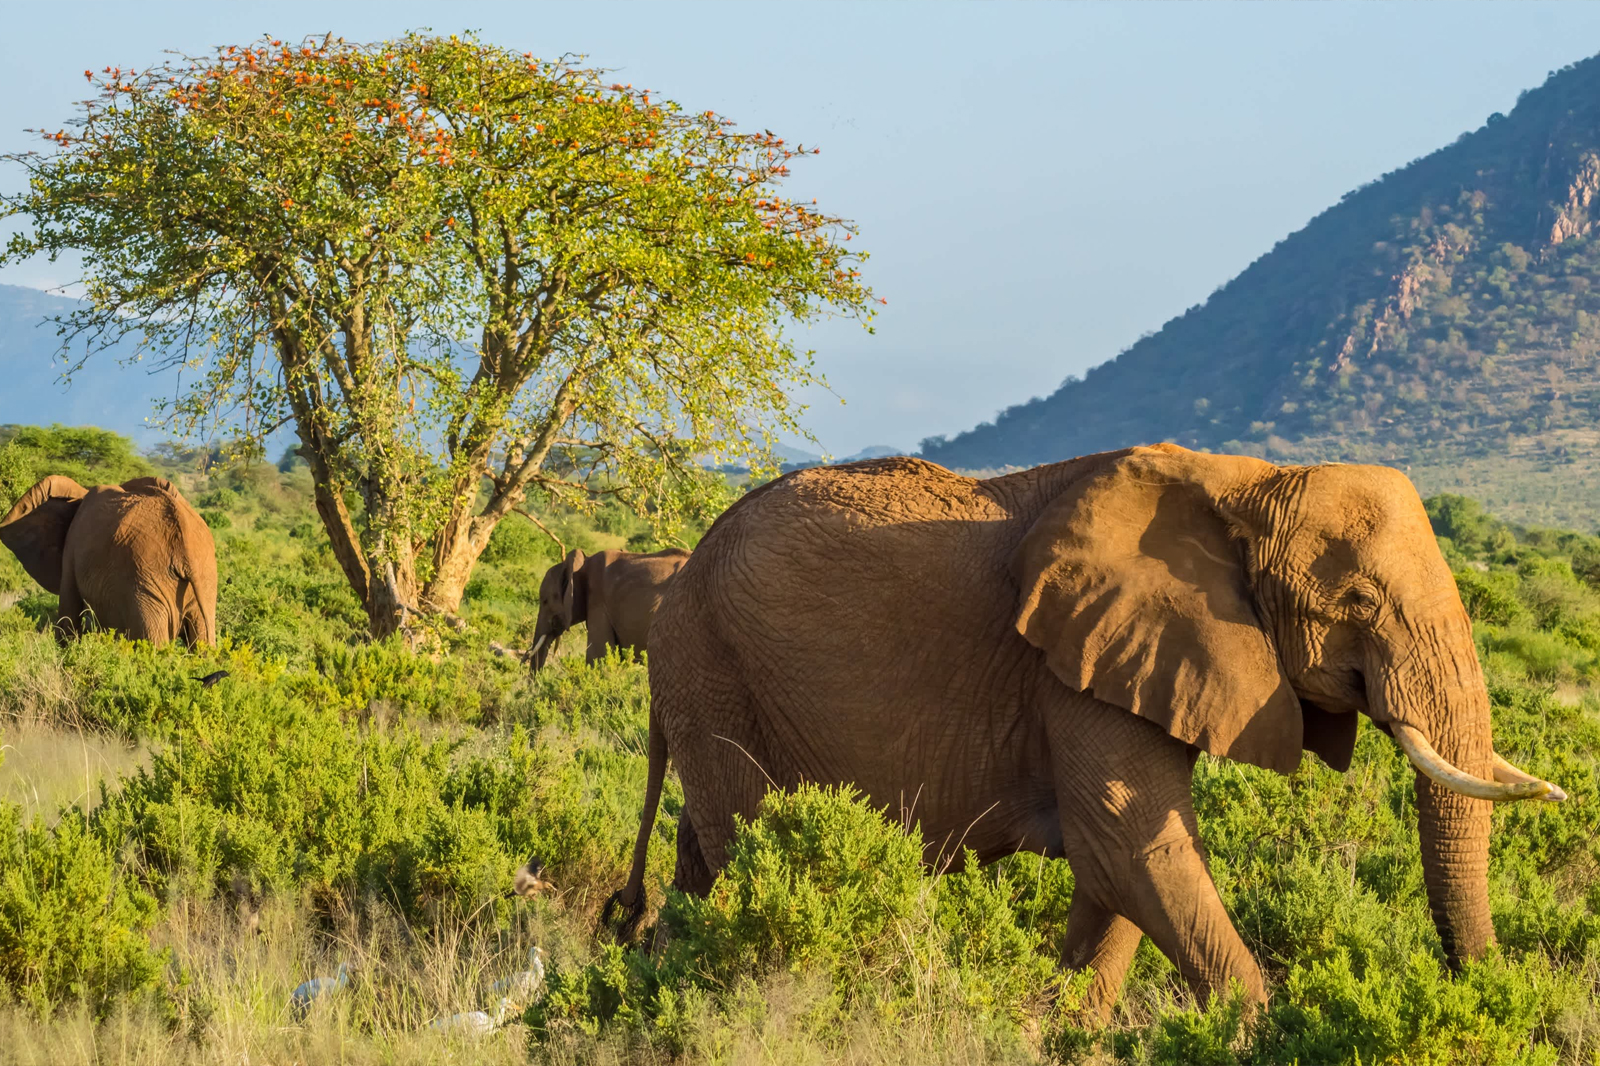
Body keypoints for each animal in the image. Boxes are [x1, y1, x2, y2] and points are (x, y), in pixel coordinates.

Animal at [0, 473, 217, 646]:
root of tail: (184, 544)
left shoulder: (72, 547)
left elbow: (69, 613)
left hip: (145, 580)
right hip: (202, 578)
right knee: (203, 641)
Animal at [611, 444, 1561, 1017]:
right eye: (1357, 604)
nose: (1482, 991)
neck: (1244, 482)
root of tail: (686, 565)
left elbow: (1119, 875)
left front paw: (1062, 1028)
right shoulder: (1074, 666)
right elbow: (1132, 846)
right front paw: (1271, 1031)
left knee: (700, 854)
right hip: (712, 665)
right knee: (744, 841)